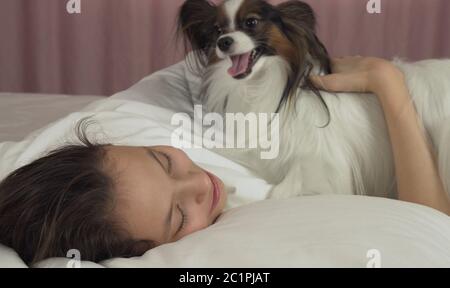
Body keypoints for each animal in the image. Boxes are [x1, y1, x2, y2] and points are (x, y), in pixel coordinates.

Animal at [179, 0, 450, 199]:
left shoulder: (322, 161)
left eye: (251, 22)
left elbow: (279, 192)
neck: (262, 87)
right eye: (217, 30)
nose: (223, 42)